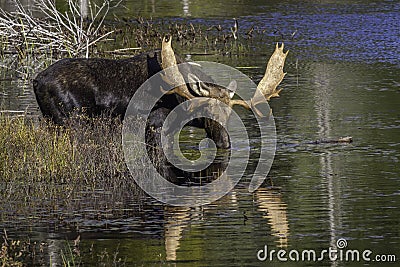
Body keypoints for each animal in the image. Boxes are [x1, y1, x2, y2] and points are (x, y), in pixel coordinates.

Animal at [32, 35, 288, 150]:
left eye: (229, 115)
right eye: (207, 113)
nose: (225, 143)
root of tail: (36, 81)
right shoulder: (155, 124)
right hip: (71, 119)